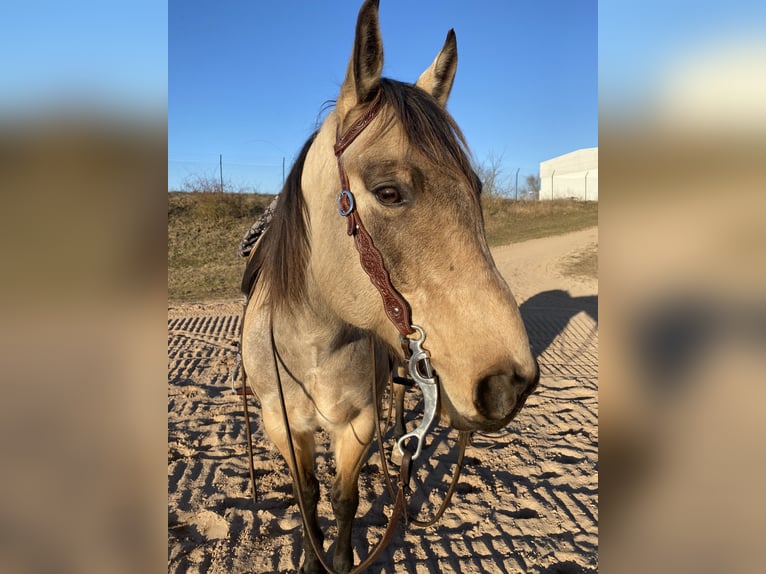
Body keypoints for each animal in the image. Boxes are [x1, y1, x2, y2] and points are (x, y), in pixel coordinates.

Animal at [240, 1, 539, 571]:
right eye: (388, 192)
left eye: (476, 187)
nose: (507, 384)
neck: (311, 341)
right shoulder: (281, 426)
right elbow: (307, 494)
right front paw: (311, 555)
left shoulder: (356, 425)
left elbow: (345, 497)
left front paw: (335, 558)